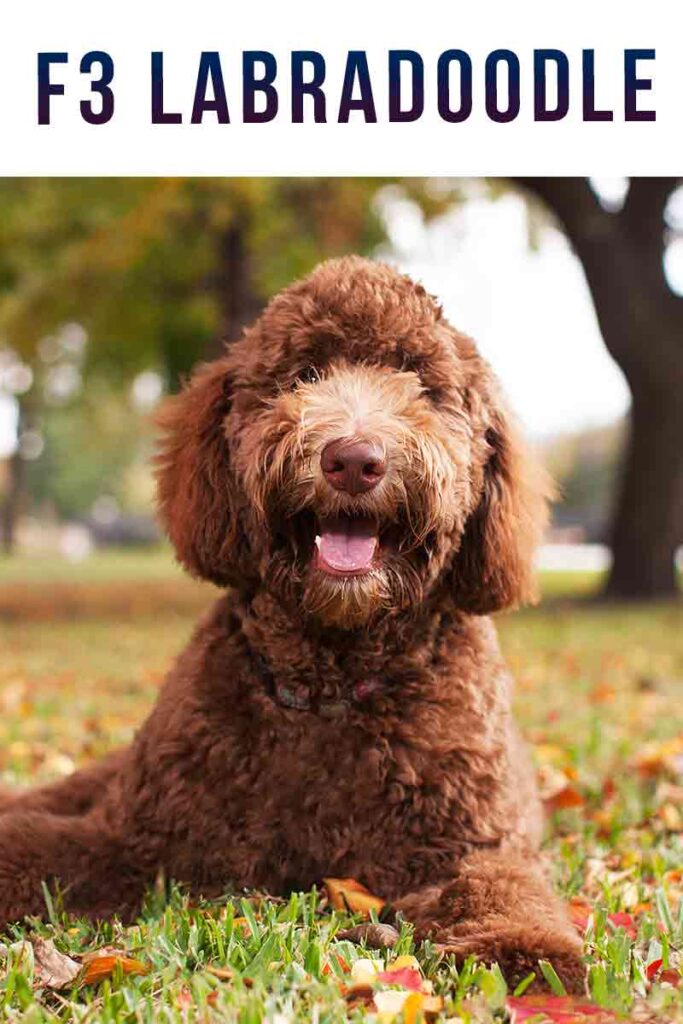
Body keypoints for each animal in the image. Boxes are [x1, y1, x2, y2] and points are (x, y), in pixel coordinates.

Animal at [1, 256, 589, 991]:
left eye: (422, 387)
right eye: (303, 374)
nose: (354, 460)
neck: (331, 689)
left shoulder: (470, 842)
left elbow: (502, 887)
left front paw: (527, 952)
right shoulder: (135, 839)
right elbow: (31, 848)